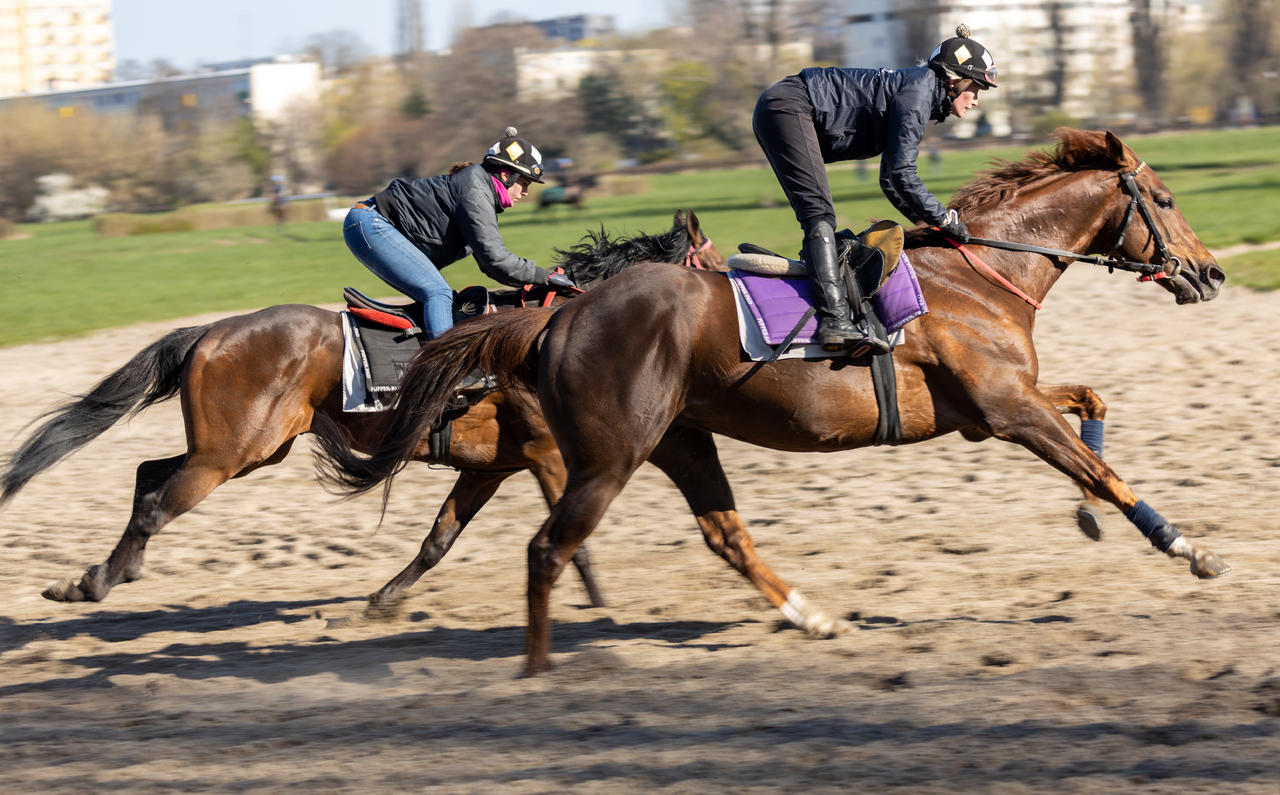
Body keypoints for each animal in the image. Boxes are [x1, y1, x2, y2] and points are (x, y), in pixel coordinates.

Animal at [0, 208, 727, 606]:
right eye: (715, 262)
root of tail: (209, 332)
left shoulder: (493, 465)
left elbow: (439, 539)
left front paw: (385, 598)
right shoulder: (549, 455)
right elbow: (571, 540)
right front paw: (599, 609)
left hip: (248, 451)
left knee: (148, 474)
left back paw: (103, 575)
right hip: (230, 452)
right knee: (156, 500)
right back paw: (96, 581)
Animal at [309, 127, 1228, 670]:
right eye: (1166, 200)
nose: (1211, 271)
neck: (978, 275)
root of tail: (558, 315)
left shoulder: (996, 409)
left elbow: (1093, 404)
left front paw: (1092, 516)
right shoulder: (1006, 409)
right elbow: (1104, 468)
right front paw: (1187, 548)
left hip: (680, 438)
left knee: (723, 534)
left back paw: (809, 615)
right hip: (611, 454)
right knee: (548, 547)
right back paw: (541, 673)